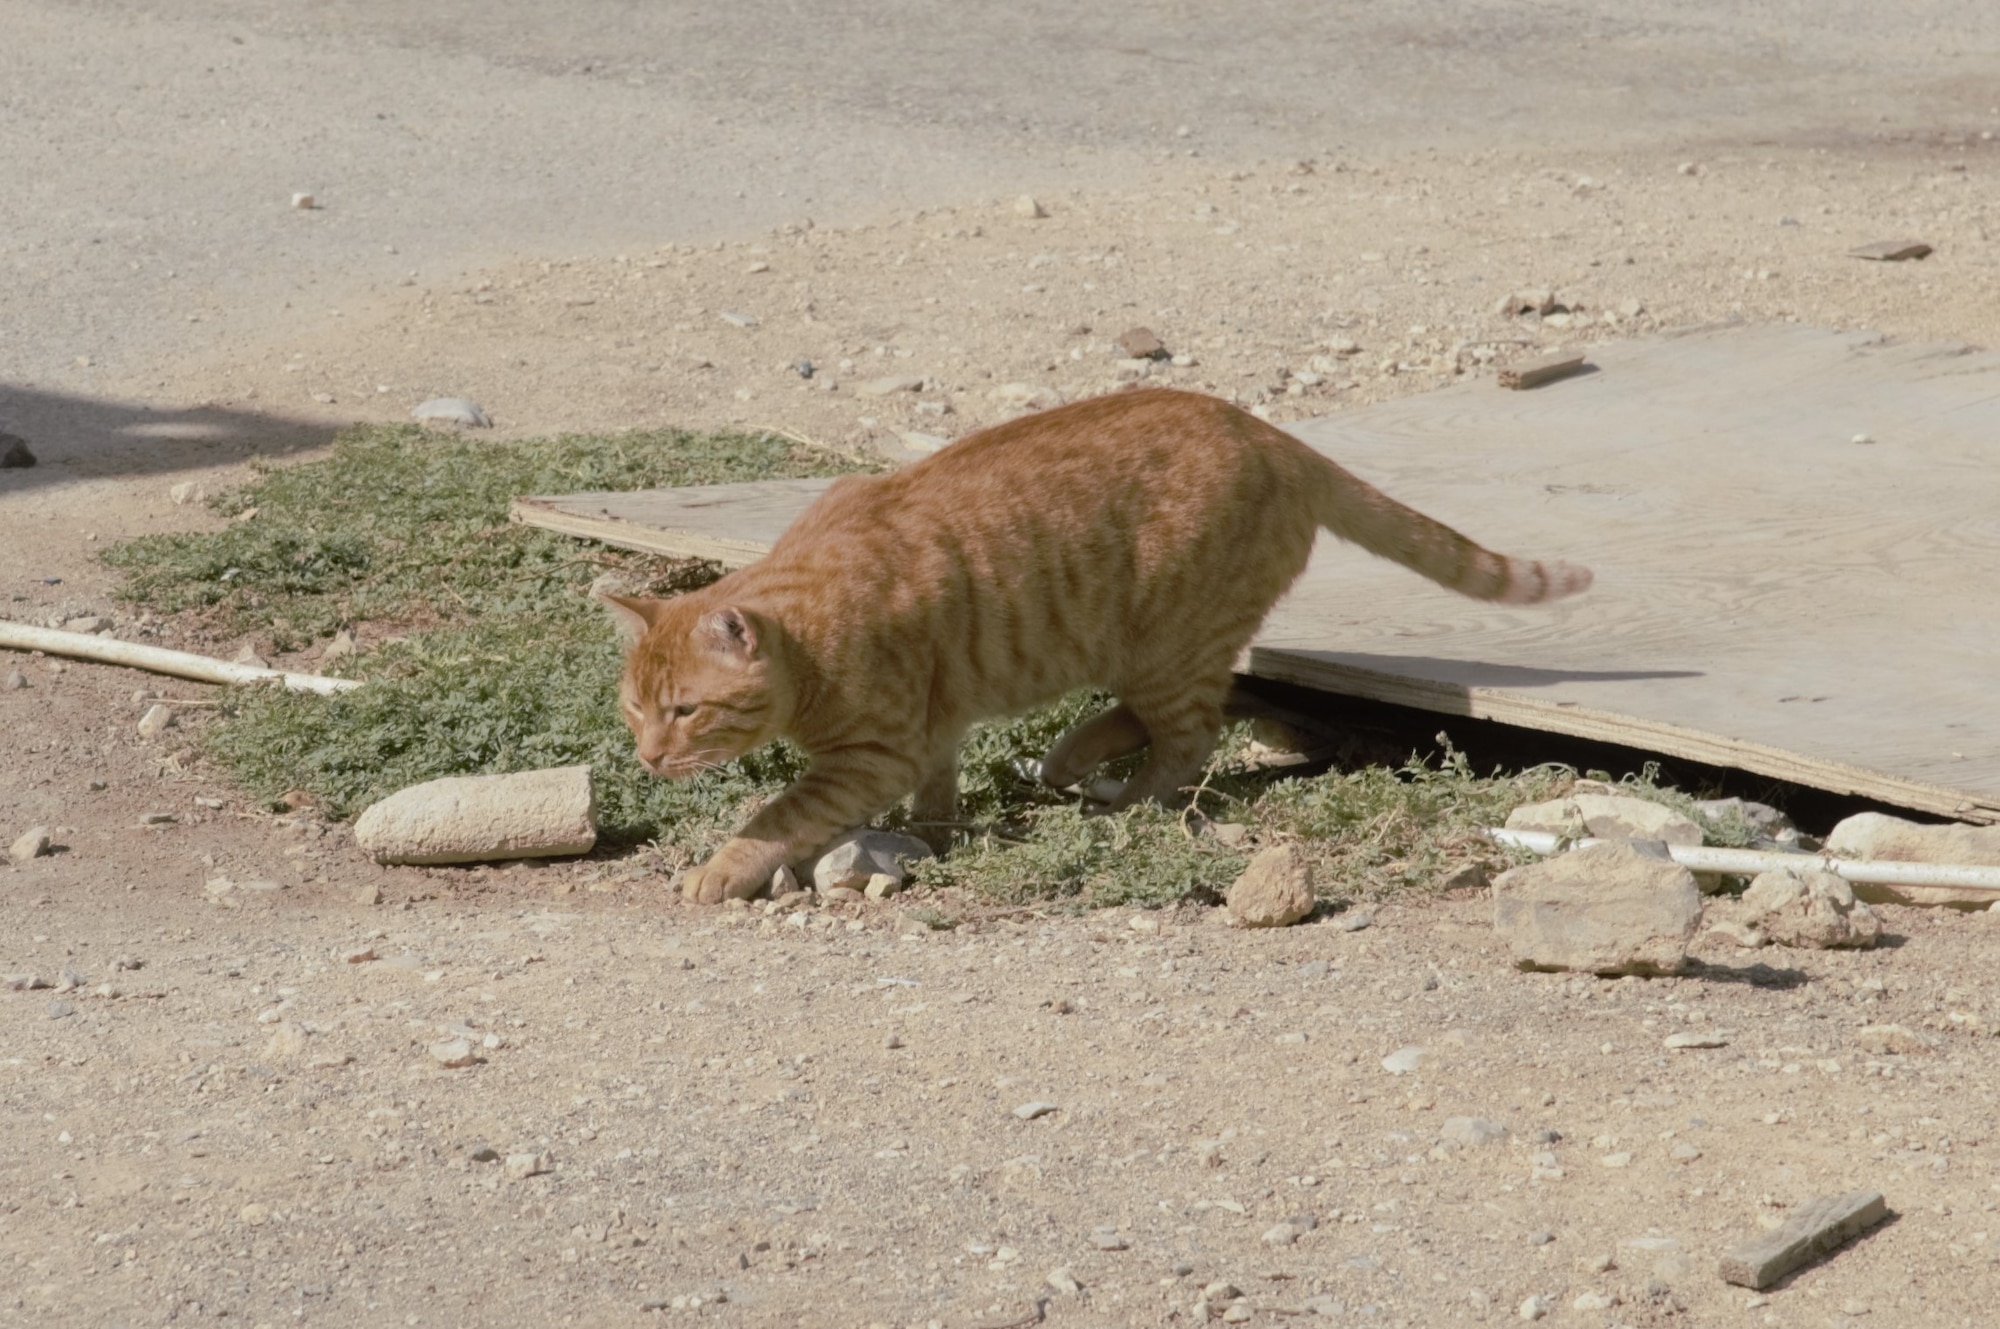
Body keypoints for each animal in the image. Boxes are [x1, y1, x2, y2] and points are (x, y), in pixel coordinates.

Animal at [608, 386, 1592, 904]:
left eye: (685, 710)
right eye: (632, 710)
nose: (649, 758)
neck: (808, 634)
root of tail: (1268, 431)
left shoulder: (870, 753)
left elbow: (777, 813)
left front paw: (722, 867)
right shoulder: (929, 726)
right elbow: (937, 781)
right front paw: (936, 832)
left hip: (1167, 645)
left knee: (1191, 737)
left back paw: (1119, 797)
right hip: (1153, 649)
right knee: (1181, 714)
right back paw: (1072, 759)